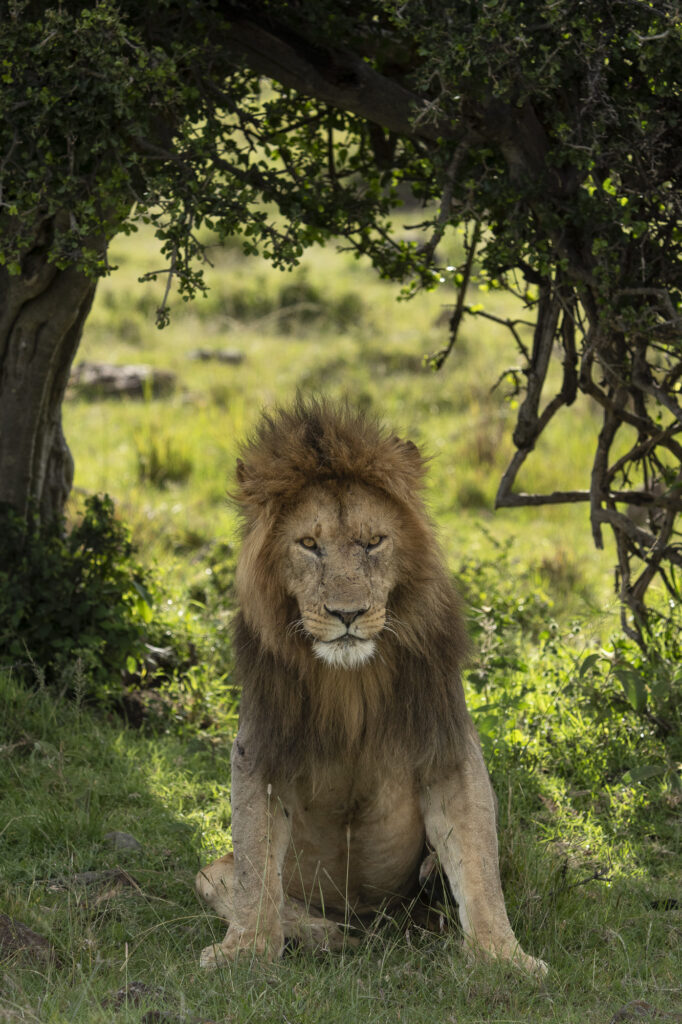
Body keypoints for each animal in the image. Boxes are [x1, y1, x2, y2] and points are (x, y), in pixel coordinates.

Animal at [196, 398, 546, 974]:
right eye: (309, 544)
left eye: (374, 541)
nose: (347, 614)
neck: (350, 682)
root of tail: (367, 919)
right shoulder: (260, 750)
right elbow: (254, 869)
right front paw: (246, 950)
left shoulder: (447, 747)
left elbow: (479, 865)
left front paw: (504, 955)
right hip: (216, 872)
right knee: (228, 880)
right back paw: (322, 934)